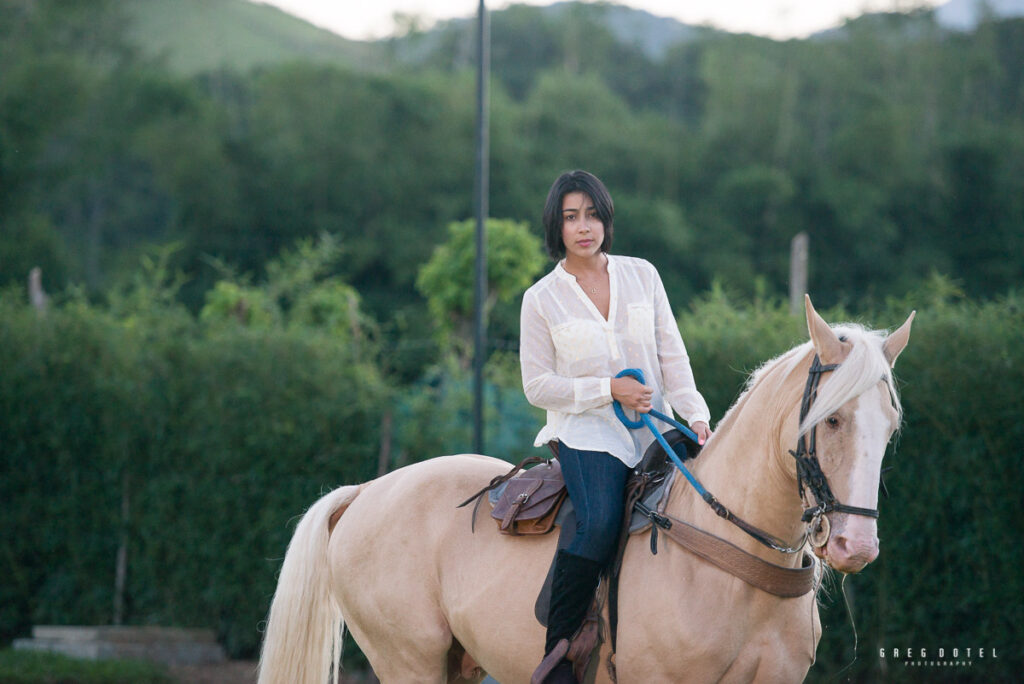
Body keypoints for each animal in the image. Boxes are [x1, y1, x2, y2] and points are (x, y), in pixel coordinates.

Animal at [260, 296, 917, 684]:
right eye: (831, 420)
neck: (729, 557)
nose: (855, 546)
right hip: (407, 663)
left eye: (890, 424)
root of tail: (366, 493)